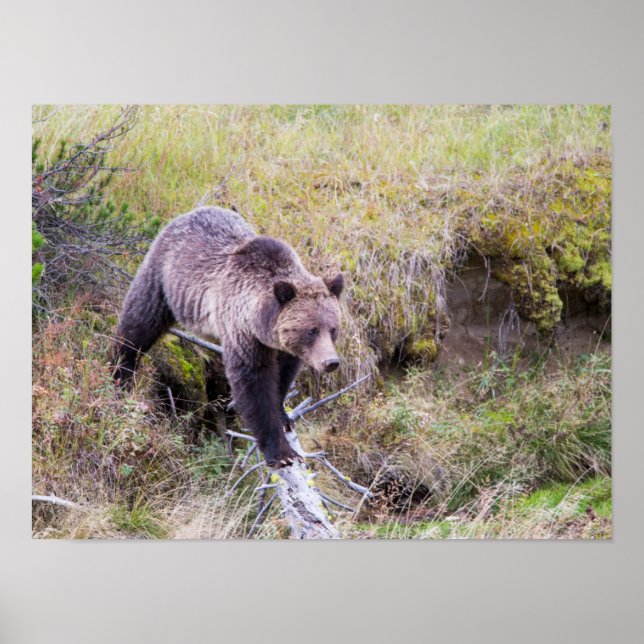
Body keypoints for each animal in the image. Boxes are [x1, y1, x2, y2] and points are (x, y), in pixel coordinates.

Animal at [112, 206, 344, 467]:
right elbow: (253, 385)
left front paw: (284, 416)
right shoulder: (242, 331)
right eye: (312, 330)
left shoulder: (284, 348)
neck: (262, 323)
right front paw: (281, 452)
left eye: (333, 329)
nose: (331, 362)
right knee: (138, 325)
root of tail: (187, 214)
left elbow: (283, 377)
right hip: (162, 279)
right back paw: (120, 374)